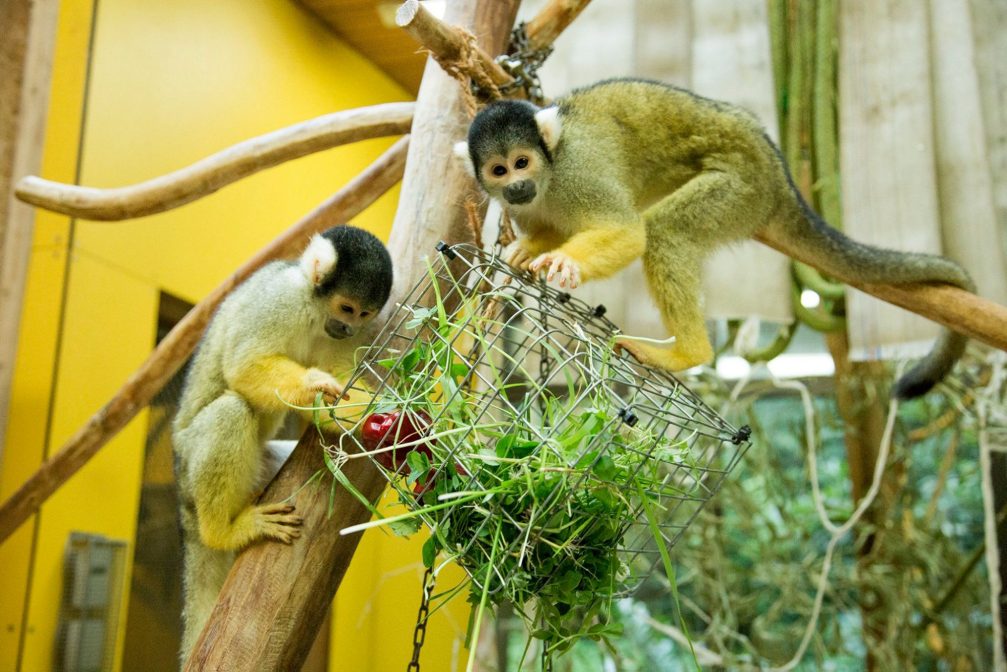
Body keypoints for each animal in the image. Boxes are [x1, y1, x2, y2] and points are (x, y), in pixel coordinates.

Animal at [173, 224, 392, 660]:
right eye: (347, 308)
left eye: (364, 315)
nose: (348, 328)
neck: (313, 308)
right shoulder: (281, 300)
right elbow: (245, 365)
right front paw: (313, 383)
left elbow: (335, 401)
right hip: (188, 466)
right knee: (232, 409)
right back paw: (223, 531)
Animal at [453, 77, 970, 398]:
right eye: (498, 170)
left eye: (522, 161)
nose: (516, 186)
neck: (548, 175)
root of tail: (777, 169)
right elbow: (548, 230)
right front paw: (526, 250)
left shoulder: (578, 173)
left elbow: (628, 232)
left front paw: (567, 263)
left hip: (742, 185)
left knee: (663, 232)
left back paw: (688, 352)